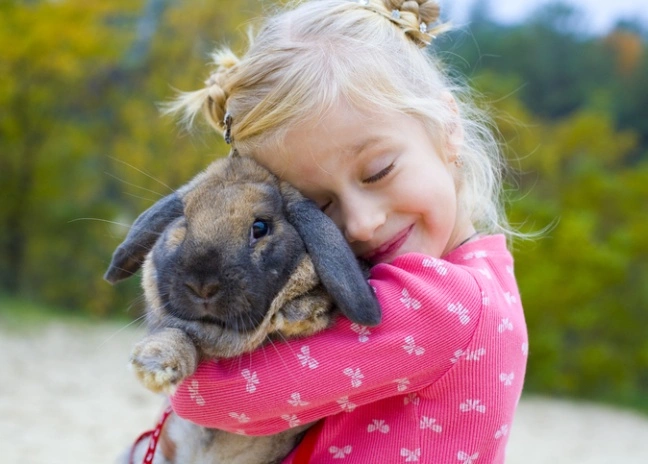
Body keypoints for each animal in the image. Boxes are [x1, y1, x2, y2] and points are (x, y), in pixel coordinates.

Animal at [105, 154, 381, 464]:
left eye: (260, 227)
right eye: (184, 222)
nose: (202, 285)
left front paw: (302, 311)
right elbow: (177, 335)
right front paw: (155, 366)